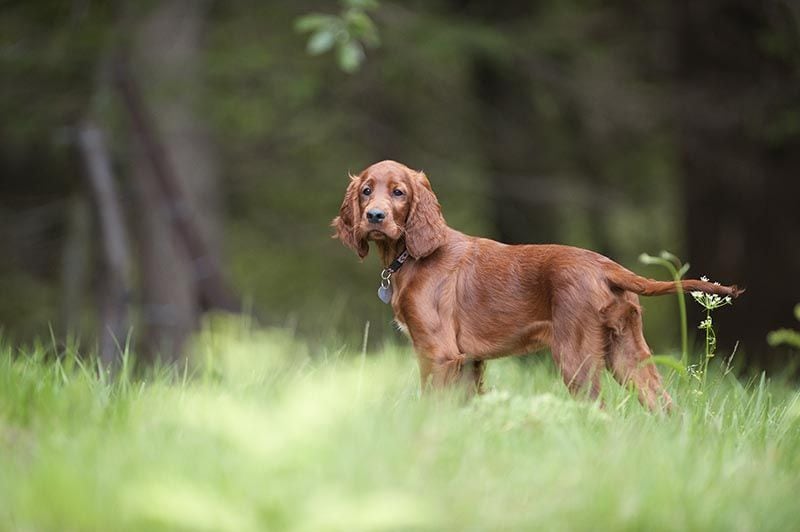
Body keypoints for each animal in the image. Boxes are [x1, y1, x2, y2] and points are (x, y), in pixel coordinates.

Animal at [328, 160, 740, 410]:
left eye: (398, 192)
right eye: (366, 191)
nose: (374, 216)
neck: (413, 256)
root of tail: (606, 266)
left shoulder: (439, 353)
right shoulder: (468, 361)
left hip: (576, 357)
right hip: (628, 354)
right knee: (665, 406)